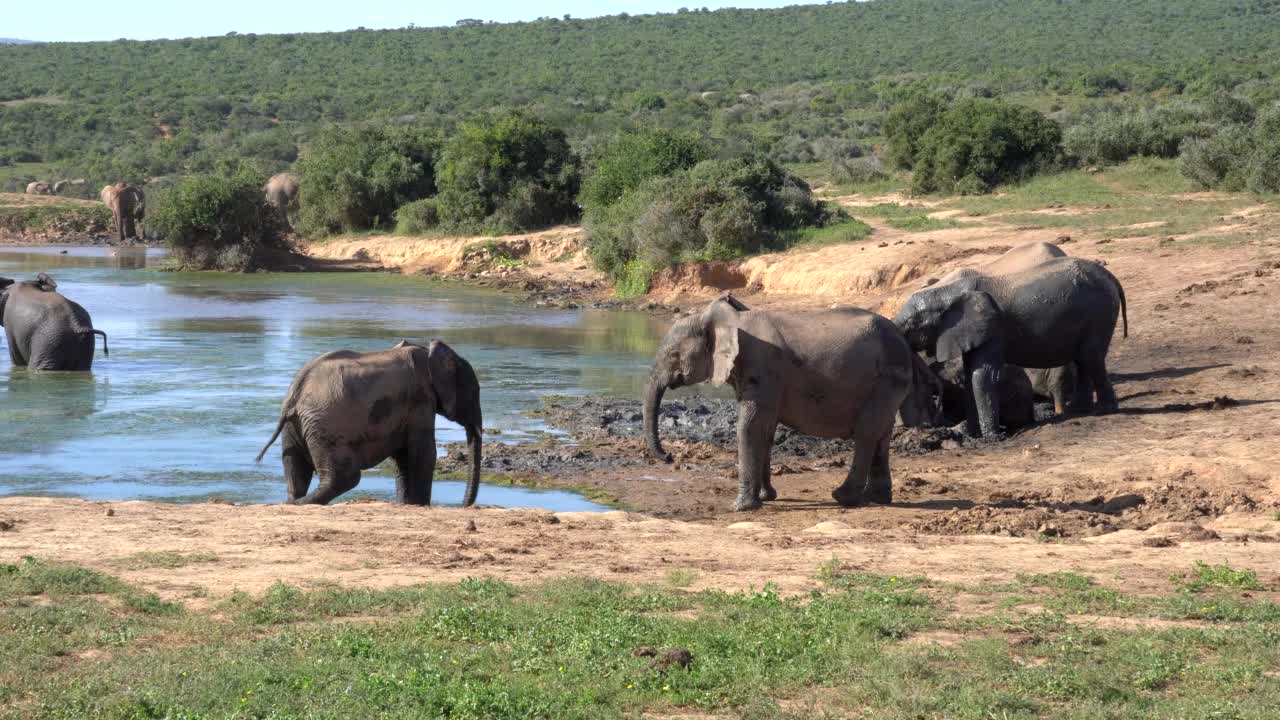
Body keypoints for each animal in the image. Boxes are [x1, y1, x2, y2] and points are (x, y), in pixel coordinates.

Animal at [253, 340, 481, 504]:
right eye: (475, 393)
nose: (463, 506)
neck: (428, 352)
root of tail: (296, 393)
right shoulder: (421, 401)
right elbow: (423, 455)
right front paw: (420, 506)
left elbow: (403, 458)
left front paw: (407, 504)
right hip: (326, 424)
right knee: (345, 476)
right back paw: (300, 503)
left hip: (296, 425)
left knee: (296, 472)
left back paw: (293, 502)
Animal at [645, 293, 916, 509]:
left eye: (673, 355)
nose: (670, 457)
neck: (732, 320)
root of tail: (901, 338)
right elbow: (766, 428)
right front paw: (766, 497)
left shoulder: (763, 368)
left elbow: (750, 426)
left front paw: (741, 507)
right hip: (890, 381)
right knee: (882, 432)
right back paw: (877, 499)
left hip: (887, 378)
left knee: (866, 432)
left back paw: (844, 498)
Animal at [896, 257, 1126, 438]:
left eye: (913, 325)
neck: (946, 292)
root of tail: (1111, 276)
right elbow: (971, 376)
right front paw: (974, 436)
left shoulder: (993, 328)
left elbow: (983, 375)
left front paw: (992, 437)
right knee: (1082, 359)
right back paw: (1079, 410)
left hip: (1100, 312)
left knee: (1090, 357)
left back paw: (1104, 410)